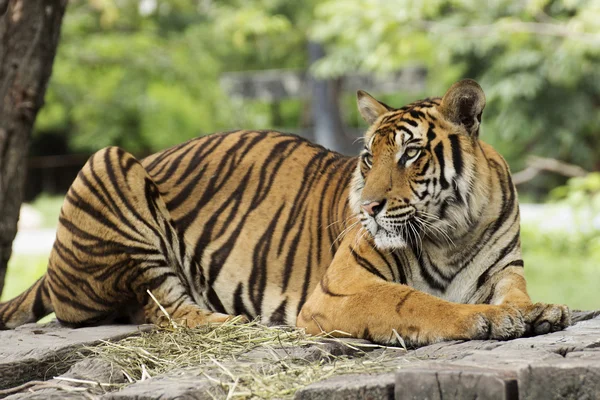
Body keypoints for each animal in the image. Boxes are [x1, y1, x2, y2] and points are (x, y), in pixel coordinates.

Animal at [0, 79, 572, 346]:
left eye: (411, 154)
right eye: (370, 157)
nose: (369, 208)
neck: (452, 231)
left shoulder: (505, 270)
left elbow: (516, 295)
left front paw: (539, 310)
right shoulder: (339, 287)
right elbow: (415, 301)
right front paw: (487, 320)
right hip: (108, 162)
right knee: (161, 308)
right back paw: (243, 321)